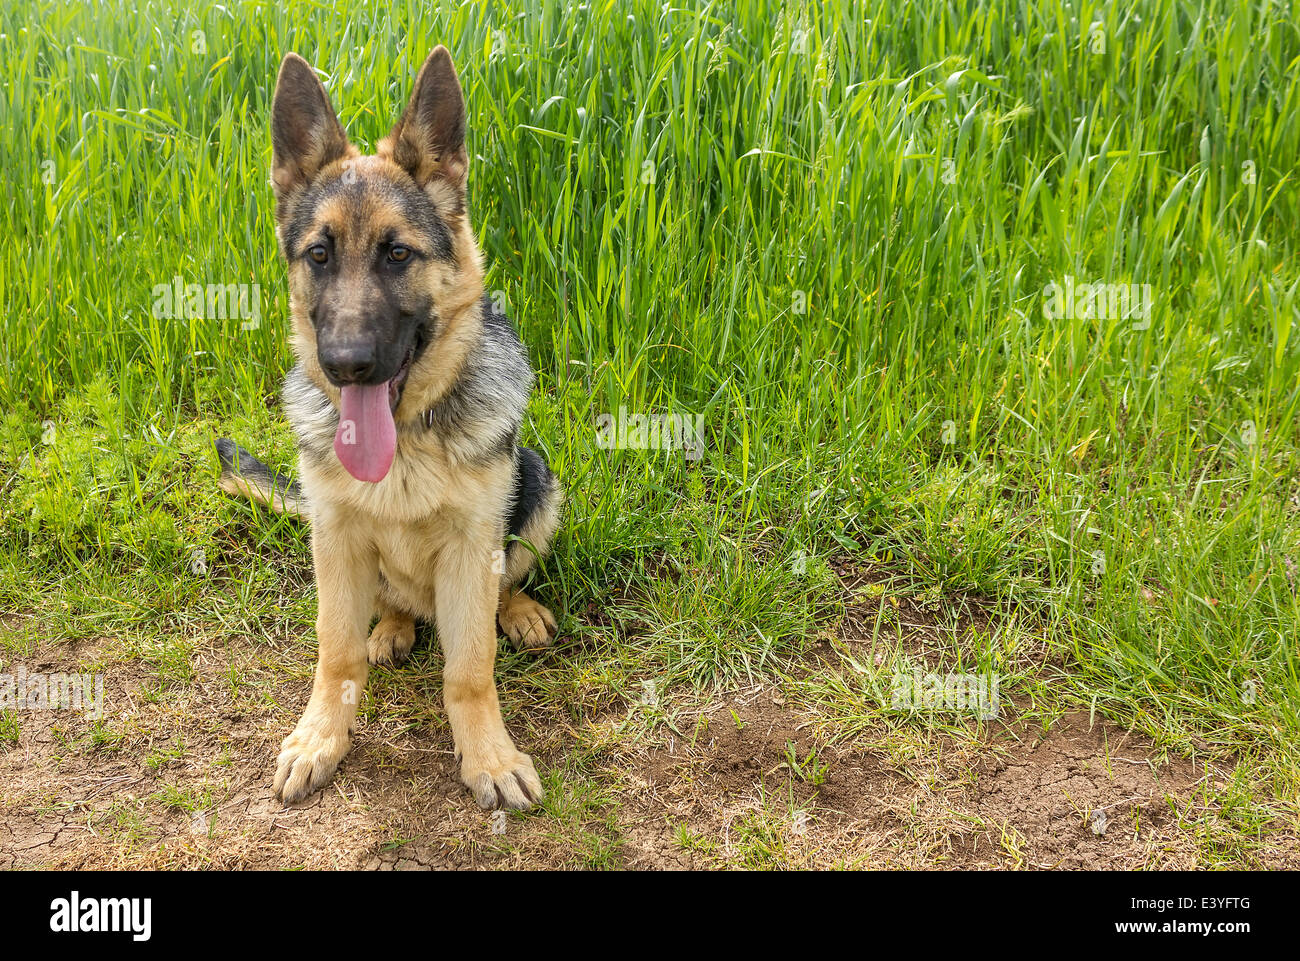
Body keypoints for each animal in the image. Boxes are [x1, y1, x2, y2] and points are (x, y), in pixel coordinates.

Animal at [213, 47, 559, 811]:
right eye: (318, 255)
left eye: (397, 254)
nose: (346, 364)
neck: (405, 440)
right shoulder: (336, 541)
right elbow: (334, 651)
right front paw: (321, 737)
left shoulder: (472, 547)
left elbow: (470, 668)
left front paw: (489, 755)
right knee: (392, 605)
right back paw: (394, 628)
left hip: (539, 483)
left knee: (503, 582)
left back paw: (517, 609)